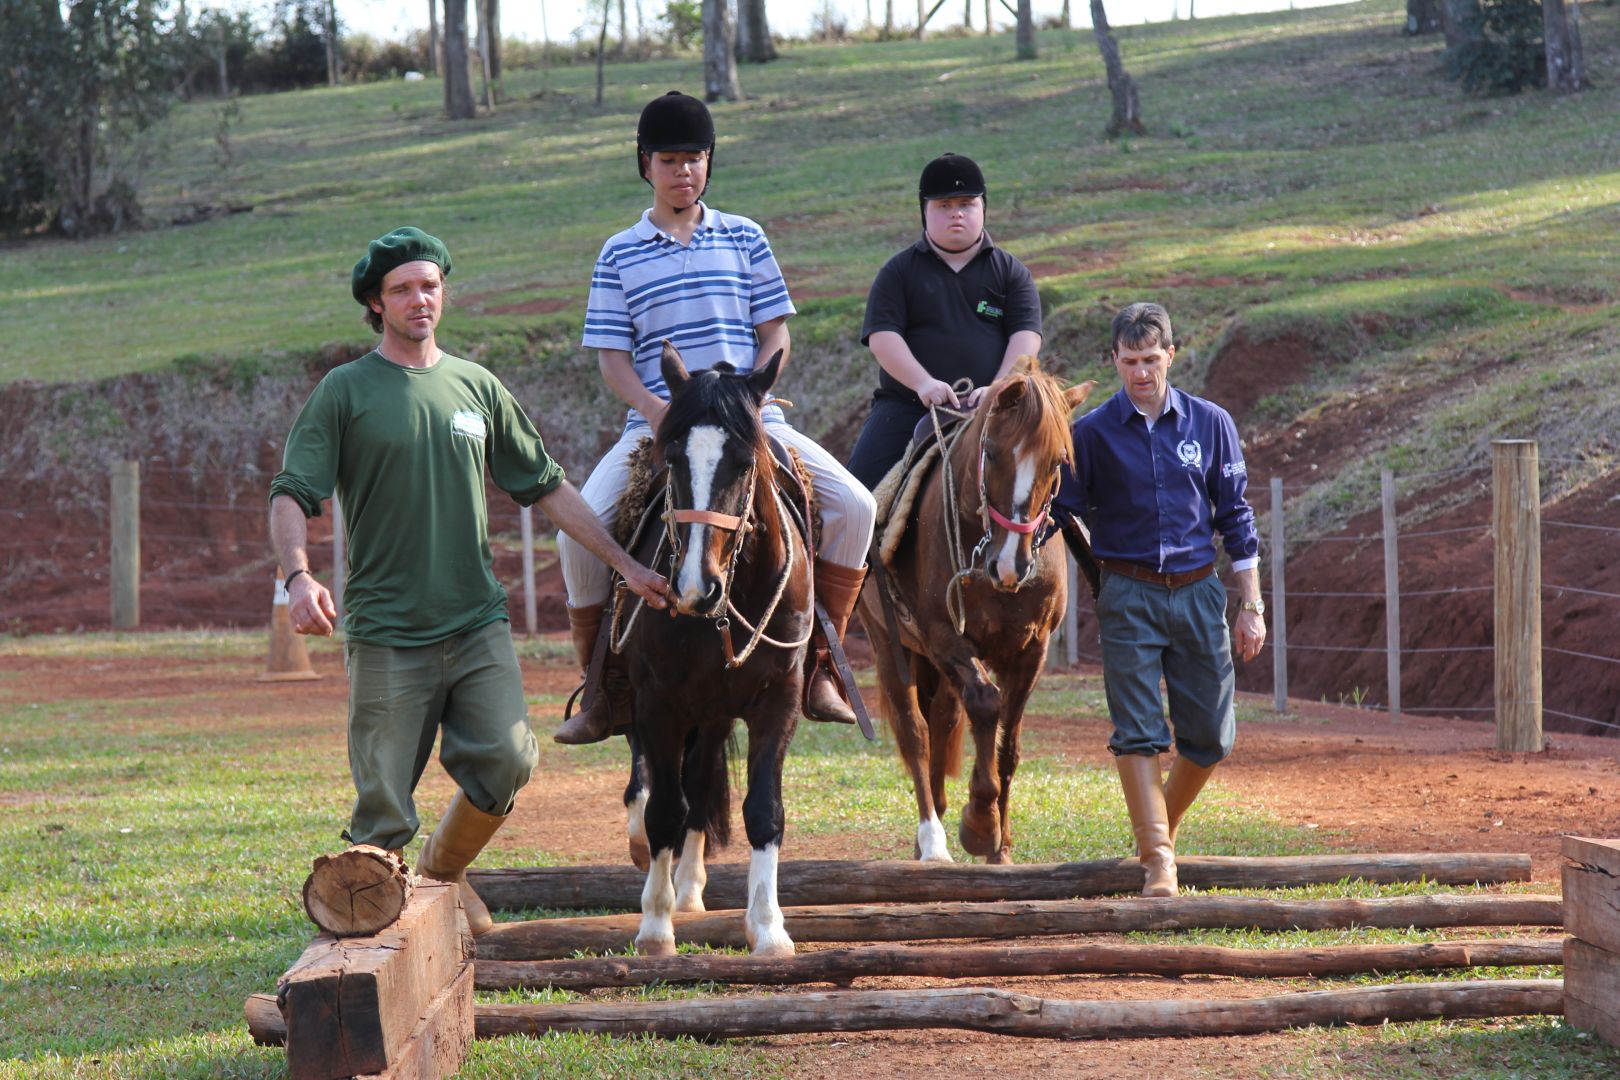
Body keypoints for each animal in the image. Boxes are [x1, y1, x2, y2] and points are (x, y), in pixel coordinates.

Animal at [612, 341, 810, 958]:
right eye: (673, 460)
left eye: (744, 463)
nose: (696, 587)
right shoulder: (658, 702)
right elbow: (663, 810)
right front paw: (655, 926)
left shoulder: (779, 700)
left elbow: (763, 810)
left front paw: (768, 927)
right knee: (654, 787)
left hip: (716, 714)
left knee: (700, 788)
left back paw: (691, 887)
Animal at [855, 359, 1095, 867]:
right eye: (993, 452)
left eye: (1056, 463)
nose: (1010, 564)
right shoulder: (945, 636)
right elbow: (985, 705)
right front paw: (980, 823)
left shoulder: (1032, 650)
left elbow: (1008, 745)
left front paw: (999, 847)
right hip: (890, 646)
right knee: (917, 732)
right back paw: (931, 839)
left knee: (943, 723)